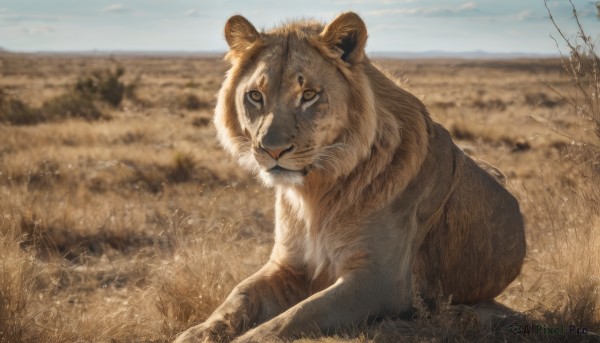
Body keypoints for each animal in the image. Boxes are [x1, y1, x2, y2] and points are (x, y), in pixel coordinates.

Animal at [175, 10, 524, 343]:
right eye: (255, 96)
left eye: (309, 95)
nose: (272, 150)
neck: (316, 192)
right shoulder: (287, 264)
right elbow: (239, 295)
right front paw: (195, 333)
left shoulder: (381, 281)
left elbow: (294, 317)